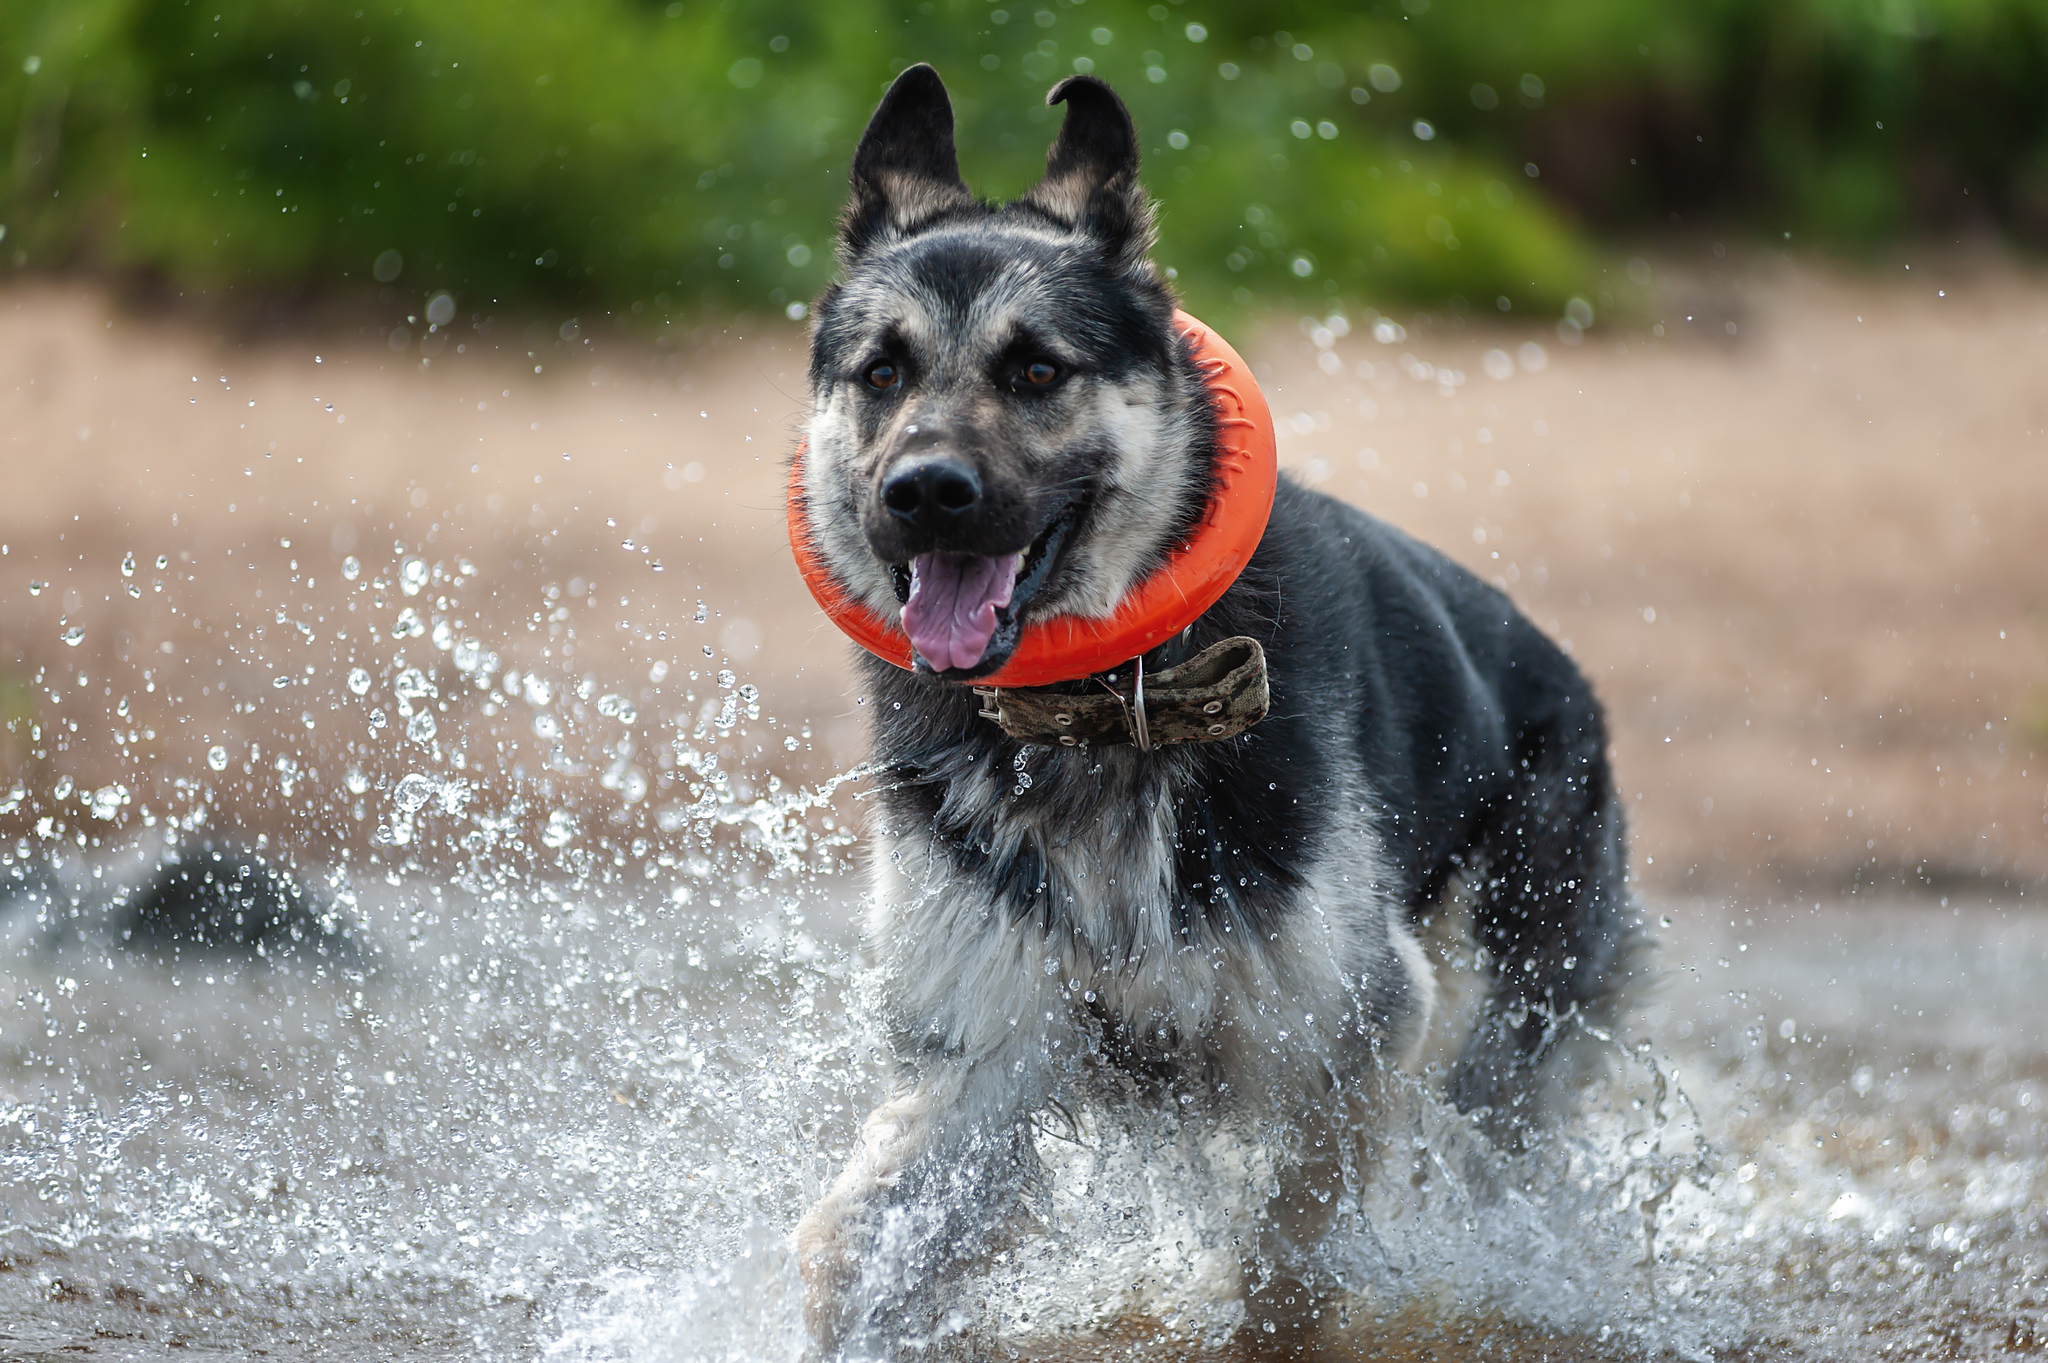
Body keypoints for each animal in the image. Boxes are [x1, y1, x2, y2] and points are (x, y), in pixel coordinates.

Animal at [786, 61, 1646, 1350]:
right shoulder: (976, 1072)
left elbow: (1287, 1265)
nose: (922, 494)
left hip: (1492, 1050)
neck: (1103, 707)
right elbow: (848, 1255)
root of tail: (1569, 681)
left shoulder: (1346, 1037)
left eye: (1034, 369)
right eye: (882, 372)